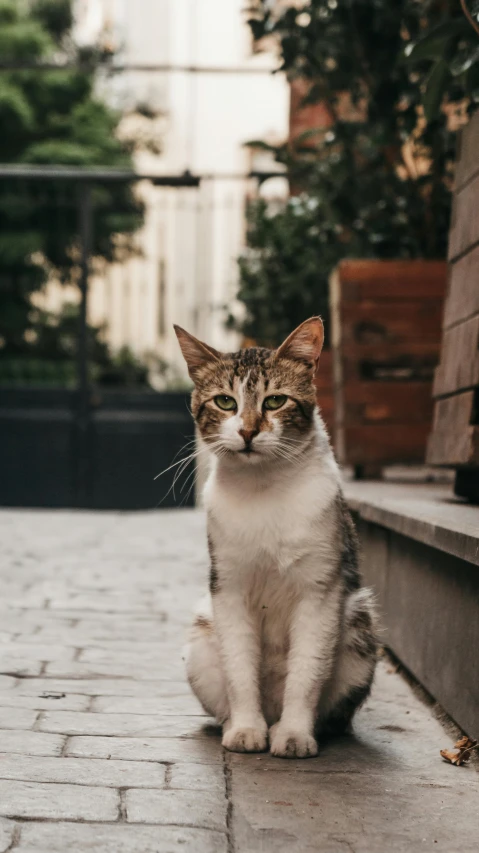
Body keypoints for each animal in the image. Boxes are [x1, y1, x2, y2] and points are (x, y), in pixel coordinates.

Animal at [174, 316, 376, 756]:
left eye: (274, 401)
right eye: (225, 402)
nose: (248, 431)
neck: (263, 487)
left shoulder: (320, 590)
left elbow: (306, 672)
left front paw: (296, 734)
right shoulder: (228, 587)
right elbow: (239, 667)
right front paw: (245, 728)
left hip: (359, 628)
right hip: (201, 638)